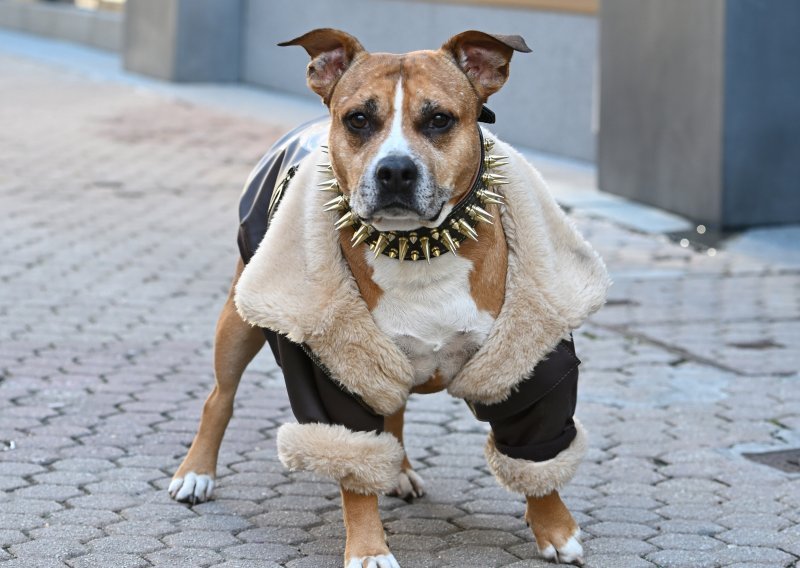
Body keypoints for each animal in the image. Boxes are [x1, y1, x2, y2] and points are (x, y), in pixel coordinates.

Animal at [167, 27, 608, 568]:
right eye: (358, 119)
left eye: (439, 119)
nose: (395, 169)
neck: (419, 250)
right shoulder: (332, 375)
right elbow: (352, 459)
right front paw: (368, 548)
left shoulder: (527, 365)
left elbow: (537, 449)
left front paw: (555, 529)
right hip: (240, 318)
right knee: (219, 398)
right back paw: (196, 473)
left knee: (392, 416)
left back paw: (397, 470)